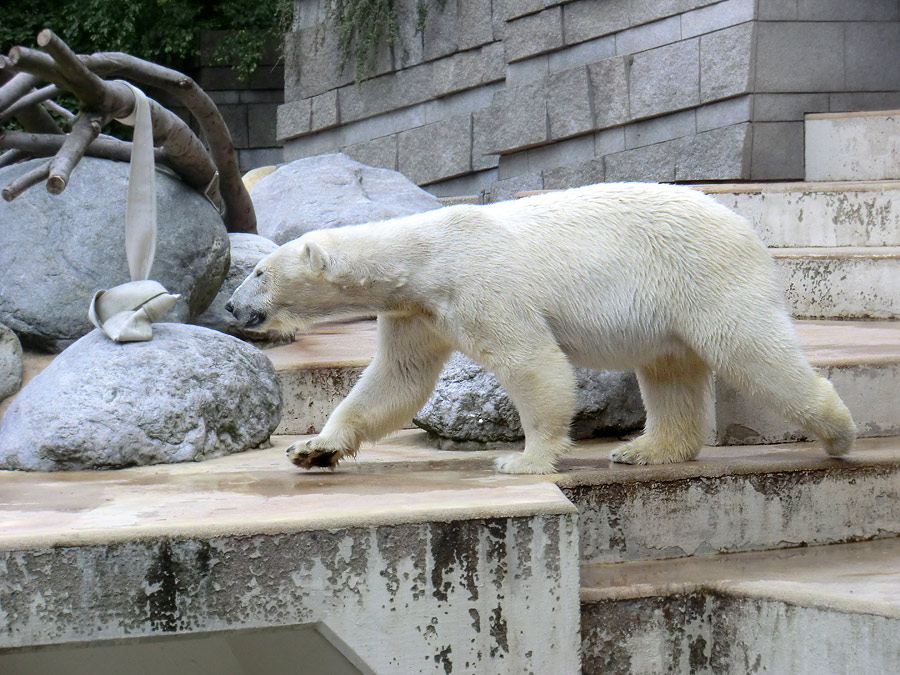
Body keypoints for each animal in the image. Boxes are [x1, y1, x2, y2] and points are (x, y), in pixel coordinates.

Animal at [227, 182, 856, 472]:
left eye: (258, 270)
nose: (232, 308)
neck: (423, 255)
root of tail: (745, 225)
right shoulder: (417, 311)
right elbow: (395, 380)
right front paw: (313, 449)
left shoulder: (479, 285)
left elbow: (531, 362)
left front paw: (524, 459)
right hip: (670, 307)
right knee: (669, 369)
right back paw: (646, 449)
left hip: (705, 274)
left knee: (749, 349)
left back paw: (838, 432)